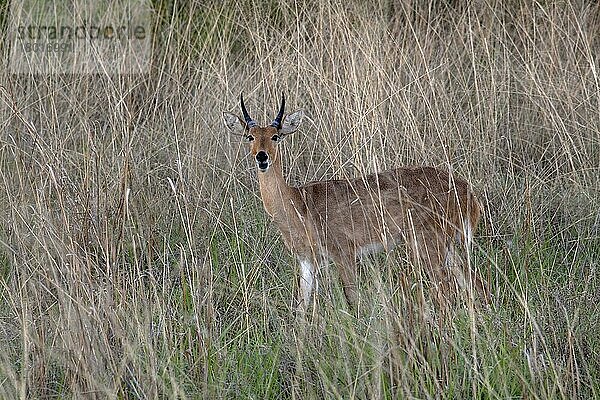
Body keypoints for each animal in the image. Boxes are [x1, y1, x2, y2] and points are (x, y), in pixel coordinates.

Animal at [223, 95, 486, 310]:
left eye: (276, 136)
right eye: (250, 136)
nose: (262, 157)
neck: (299, 204)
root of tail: (467, 190)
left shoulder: (344, 253)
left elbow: (352, 298)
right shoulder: (307, 262)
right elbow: (300, 308)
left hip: (429, 244)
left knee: (447, 290)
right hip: (447, 246)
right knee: (473, 282)